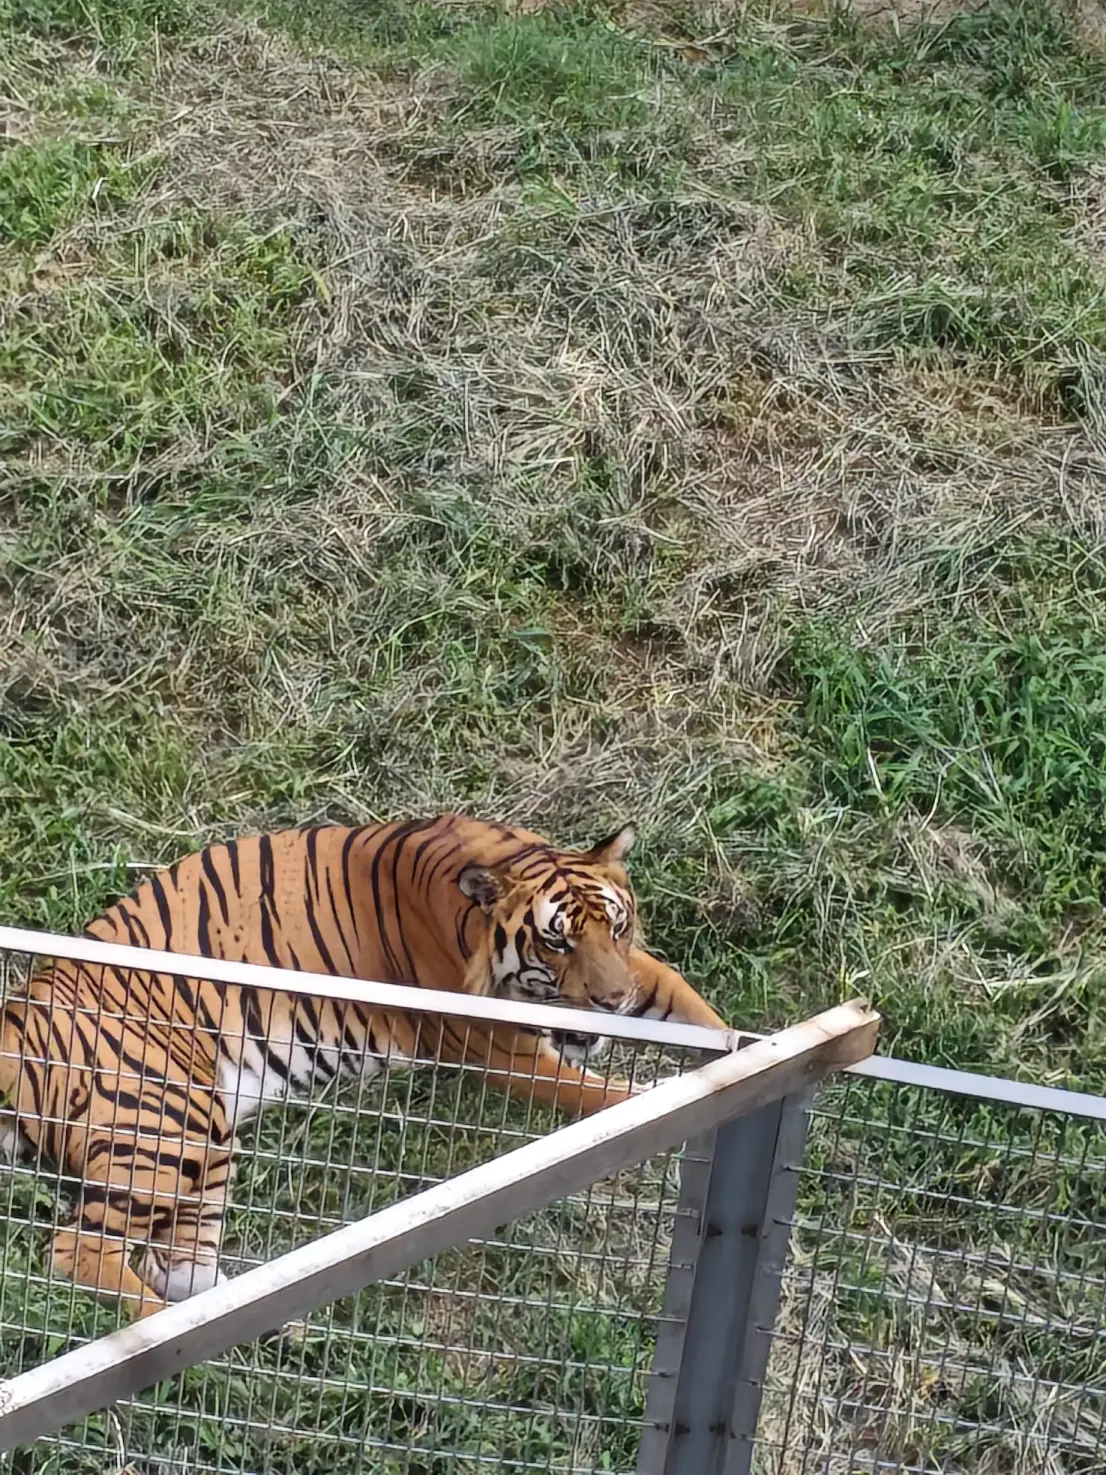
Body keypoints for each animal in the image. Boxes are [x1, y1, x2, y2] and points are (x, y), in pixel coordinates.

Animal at [0, 813, 728, 1321]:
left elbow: (695, 1007)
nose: (610, 1002)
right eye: (556, 942)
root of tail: (20, 1009)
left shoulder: (638, 972)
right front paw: (662, 1101)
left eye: (616, 927)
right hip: (167, 1118)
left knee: (176, 1263)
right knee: (78, 1252)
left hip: (206, 1141)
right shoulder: (500, 1047)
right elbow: (603, 1098)